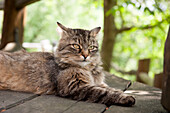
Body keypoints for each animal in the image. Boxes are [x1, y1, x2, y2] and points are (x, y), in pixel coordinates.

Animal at [0, 22, 135, 106]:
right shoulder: (77, 86)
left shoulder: (98, 83)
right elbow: (105, 93)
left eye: (91, 47)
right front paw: (127, 98)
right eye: (76, 46)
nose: (86, 55)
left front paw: (122, 93)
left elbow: (112, 89)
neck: (89, 71)